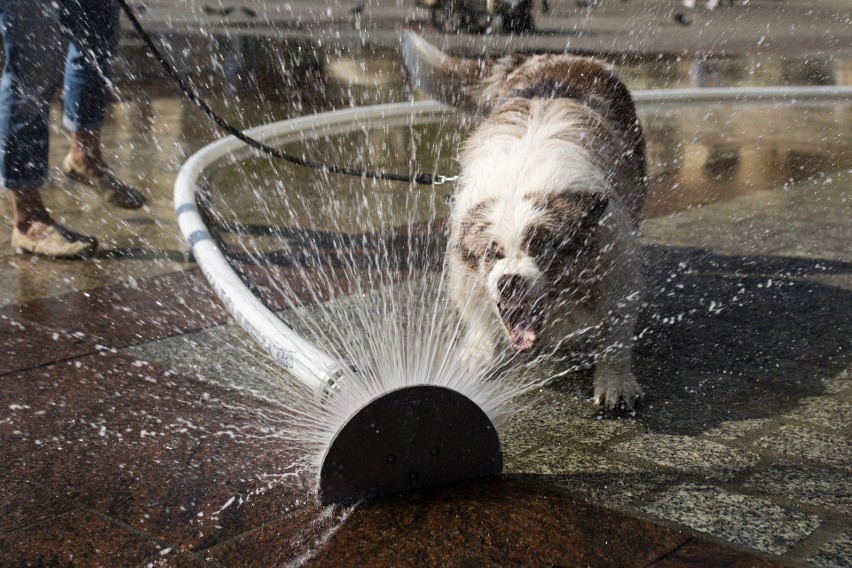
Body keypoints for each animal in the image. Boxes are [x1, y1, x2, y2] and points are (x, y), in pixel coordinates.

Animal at [402, 32, 648, 408]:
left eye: (543, 248)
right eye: (492, 254)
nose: (510, 281)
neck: (521, 182)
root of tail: (555, 57)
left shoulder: (615, 259)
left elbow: (615, 327)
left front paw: (615, 381)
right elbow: (478, 310)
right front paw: (477, 351)